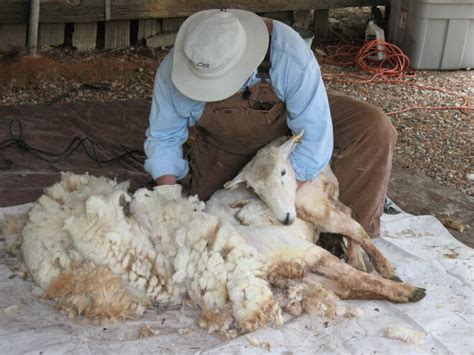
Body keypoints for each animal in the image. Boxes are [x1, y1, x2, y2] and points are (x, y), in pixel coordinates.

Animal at [2, 134, 426, 336]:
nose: (284, 217)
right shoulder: (301, 267)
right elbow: (352, 286)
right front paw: (395, 292)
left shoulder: (302, 252)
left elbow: (356, 279)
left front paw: (406, 291)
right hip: (318, 209)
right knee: (351, 219)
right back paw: (363, 259)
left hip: (313, 205)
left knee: (355, 225)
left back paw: (383, 265)